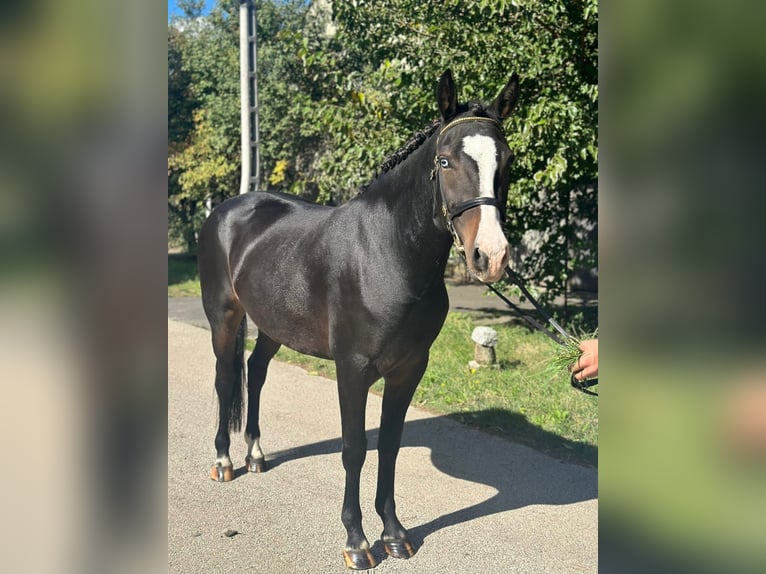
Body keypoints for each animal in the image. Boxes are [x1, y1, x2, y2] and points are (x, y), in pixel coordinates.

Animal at [198, 71, 520, 572]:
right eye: (445, 161)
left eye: (507, 160)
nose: (491, 256)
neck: (387, 254)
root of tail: (226, 209)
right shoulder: (352, 369)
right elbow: (355, 449)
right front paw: (356, 541)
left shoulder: (409, 369)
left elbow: (388, 445)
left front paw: (395, 535)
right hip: (224, 319)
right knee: (226, 378)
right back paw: (224, 462)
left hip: (273, 326)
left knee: (257, 372)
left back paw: (255, 454)